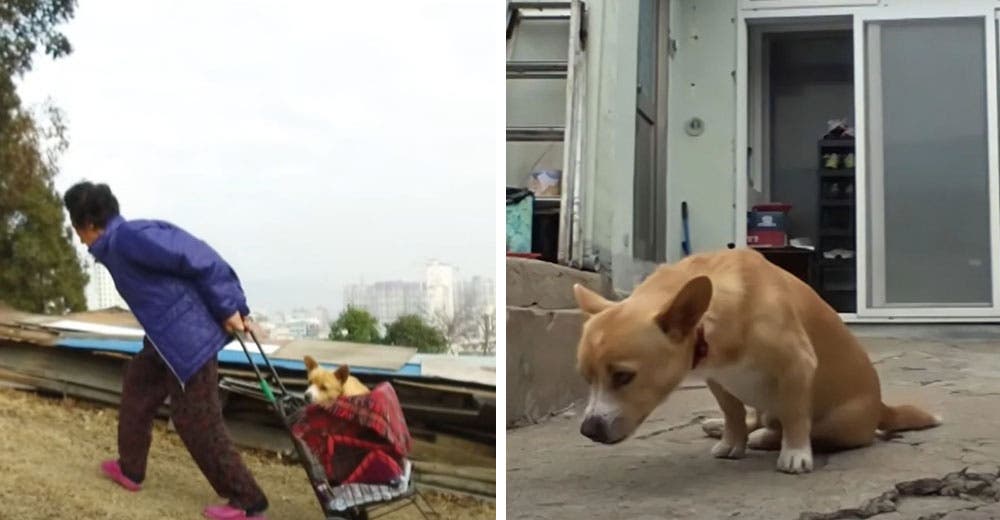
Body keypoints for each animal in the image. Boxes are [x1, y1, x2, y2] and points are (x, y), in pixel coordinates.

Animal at [576, 246, 940, 474]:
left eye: (623, 376)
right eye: (586, 379)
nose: (588, 430)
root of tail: (882, 407)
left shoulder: (797, 366)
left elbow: (796, 416)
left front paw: (795, 454)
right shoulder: (719, 380)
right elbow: (734, 413)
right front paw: (731, 441)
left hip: (841, 425)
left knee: (806, 430)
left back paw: (768, 439)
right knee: (759, 417)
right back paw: (722, 427)